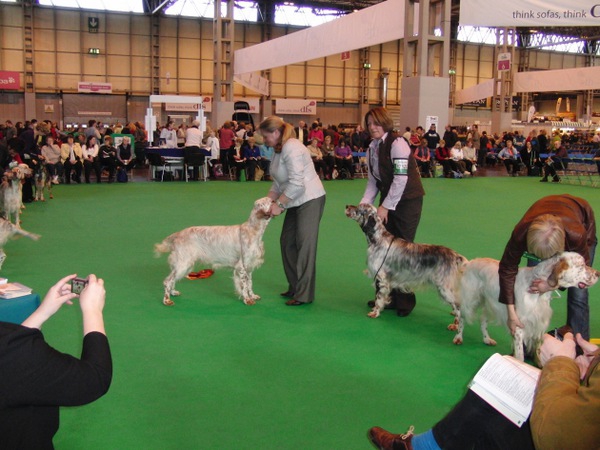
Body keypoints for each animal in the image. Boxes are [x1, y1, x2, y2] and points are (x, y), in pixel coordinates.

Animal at [458, 253, 596, 362]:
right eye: (581, 265)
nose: (598, 273)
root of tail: (471, 262)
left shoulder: (538, 323)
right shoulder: (519, 327)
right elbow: (520, 355)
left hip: (490, 304)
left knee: (482, 320)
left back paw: (487, 339)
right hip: (470, 300)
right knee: (461, 317)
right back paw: (458, 337)